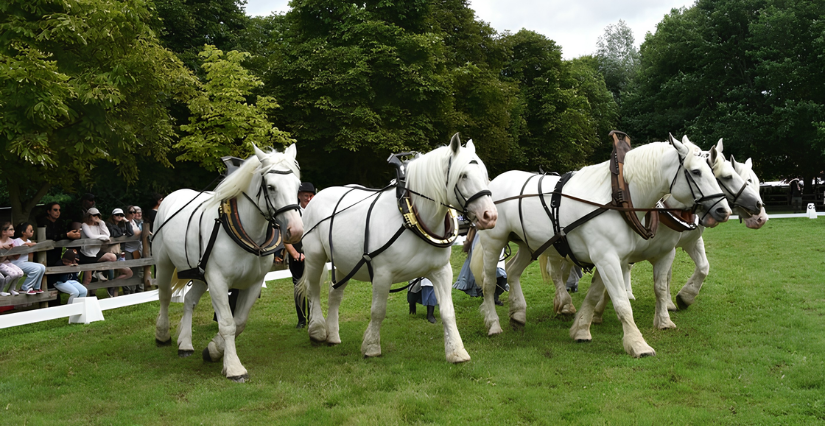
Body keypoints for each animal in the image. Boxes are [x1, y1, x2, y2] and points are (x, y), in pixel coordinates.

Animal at [153, 144, 303, 382]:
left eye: (297, 185)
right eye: (271, 187)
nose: (295, 230)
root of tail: (173, 195)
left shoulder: (253, 282)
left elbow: (239, 322)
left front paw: (213, 350)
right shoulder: (218, 281)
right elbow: (227, 323)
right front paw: (234, 368)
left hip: (200, 275)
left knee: (189, 301)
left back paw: (185, 343)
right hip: (164, 263)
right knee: (165, 297)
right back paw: (162, 334)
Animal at [298, 134, 497, 362]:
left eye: (485, 175)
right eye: (463, 175)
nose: (490, 216)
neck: (410, 217)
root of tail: (317, 197)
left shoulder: (441, 271)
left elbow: (448, 311)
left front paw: (456, 351)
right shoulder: (382, 274)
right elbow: (378, 311)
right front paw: (371, 346)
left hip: (344, 264)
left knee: (334, 293)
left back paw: (332, 335)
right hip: (315, 257)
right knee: (313, 290)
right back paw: (317, 331)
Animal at [471, 136, 732, 357]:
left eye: (713, 170)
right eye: (696, 171)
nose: (724, 210)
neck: (619, 198)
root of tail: (493, 183)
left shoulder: (613, 258)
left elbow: (596, 295)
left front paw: (581, 329)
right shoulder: (607, 258)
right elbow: (621, 302)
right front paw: (638, 344)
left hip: (529, 244)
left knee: (513, 271)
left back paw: (518, 314)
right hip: (494, 242)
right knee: (489, 283)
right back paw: (494, 324)